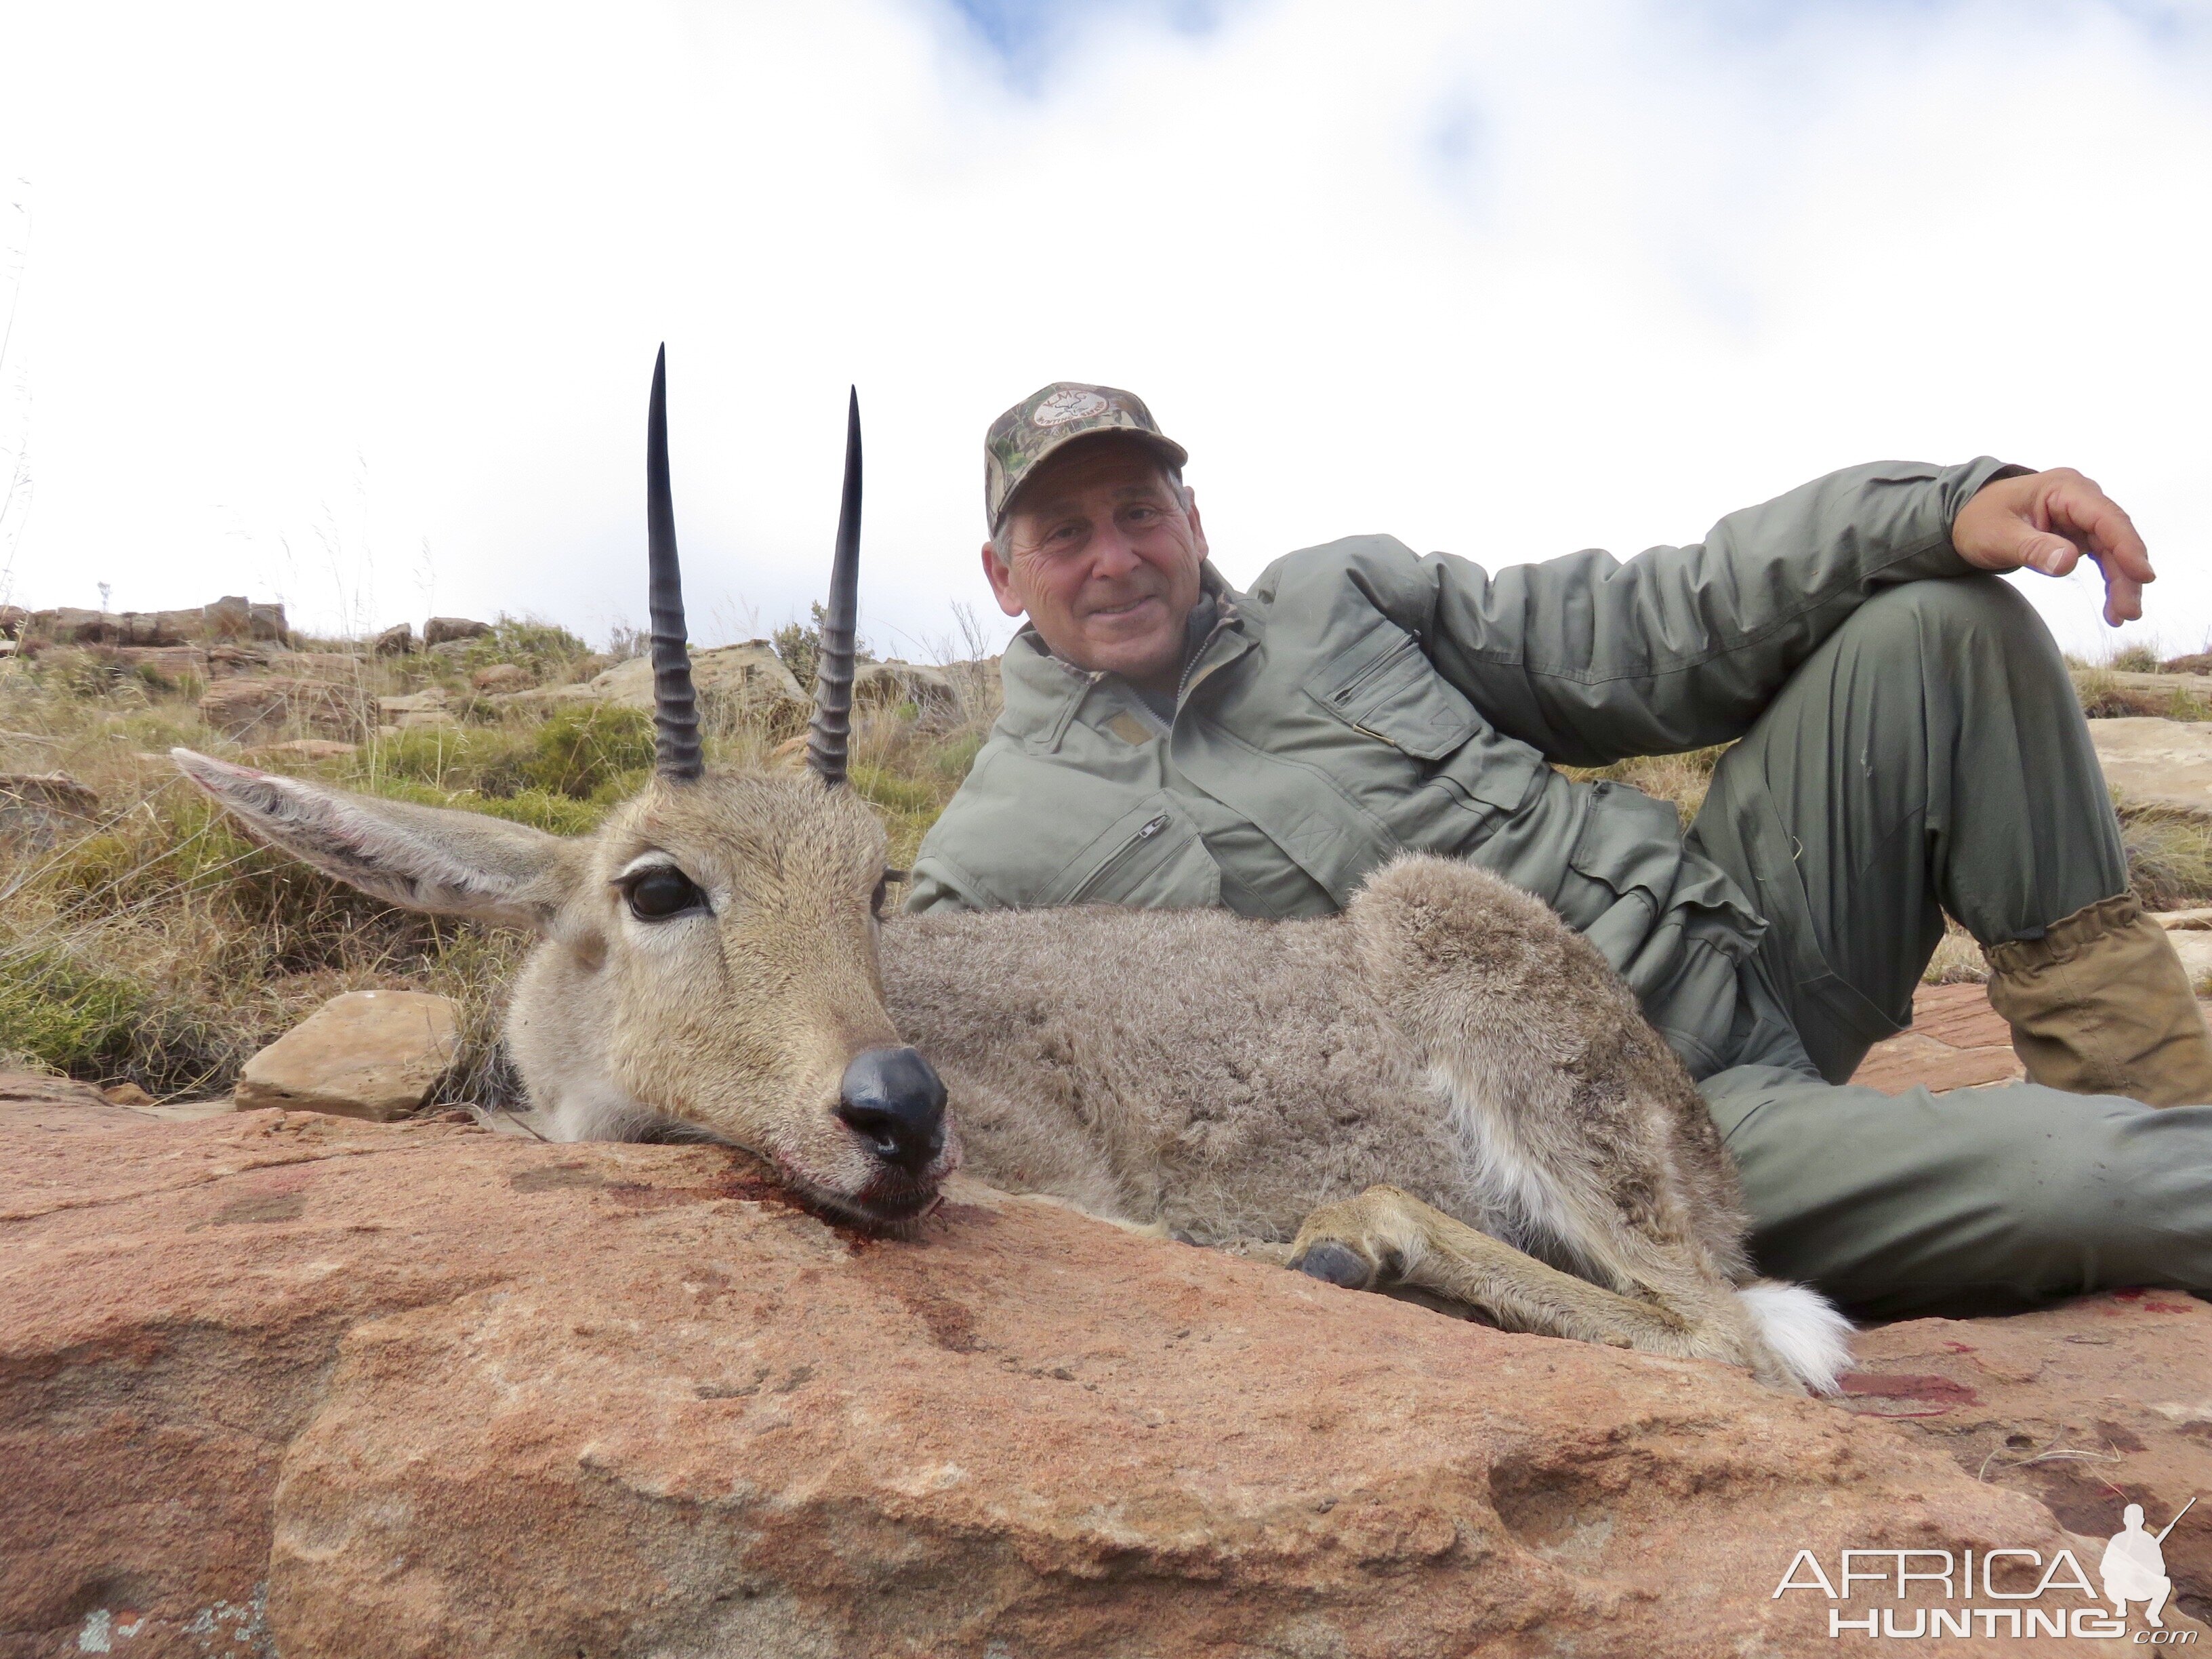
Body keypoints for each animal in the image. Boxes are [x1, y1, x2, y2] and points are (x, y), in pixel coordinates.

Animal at [181, 345, 1858, 1397]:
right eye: (657, 886)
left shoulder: (1057, 1176)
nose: (898, 1111)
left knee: (1730, 1338)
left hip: (1487, 1001)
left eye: (875, 888)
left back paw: (1357, 1242)